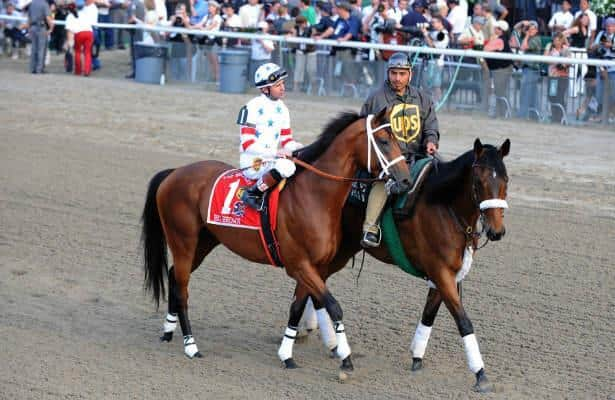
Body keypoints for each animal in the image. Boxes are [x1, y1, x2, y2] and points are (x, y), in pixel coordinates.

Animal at [140, 108, 414, 376]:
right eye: (384, 141)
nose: (405, 180)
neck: (313, 195)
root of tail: (174, 172)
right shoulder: (299, 264)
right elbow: (334, 306)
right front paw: (345, 357)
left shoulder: (312, 267)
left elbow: (296, 309)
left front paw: (287, 355)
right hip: (183, 241)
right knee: (183, 290)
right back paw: (191, 346)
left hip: (203, 243)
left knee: (174, 277)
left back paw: (168, 332)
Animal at [292, 138, 512, 390]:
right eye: (478, 181)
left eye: (505, 179)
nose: (496, 231)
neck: (442, 205)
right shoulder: (441, 272)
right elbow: (463, 321)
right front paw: (480, 374)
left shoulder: (447, 275)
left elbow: (429, 314)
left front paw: (417, 357)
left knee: (317, 281)